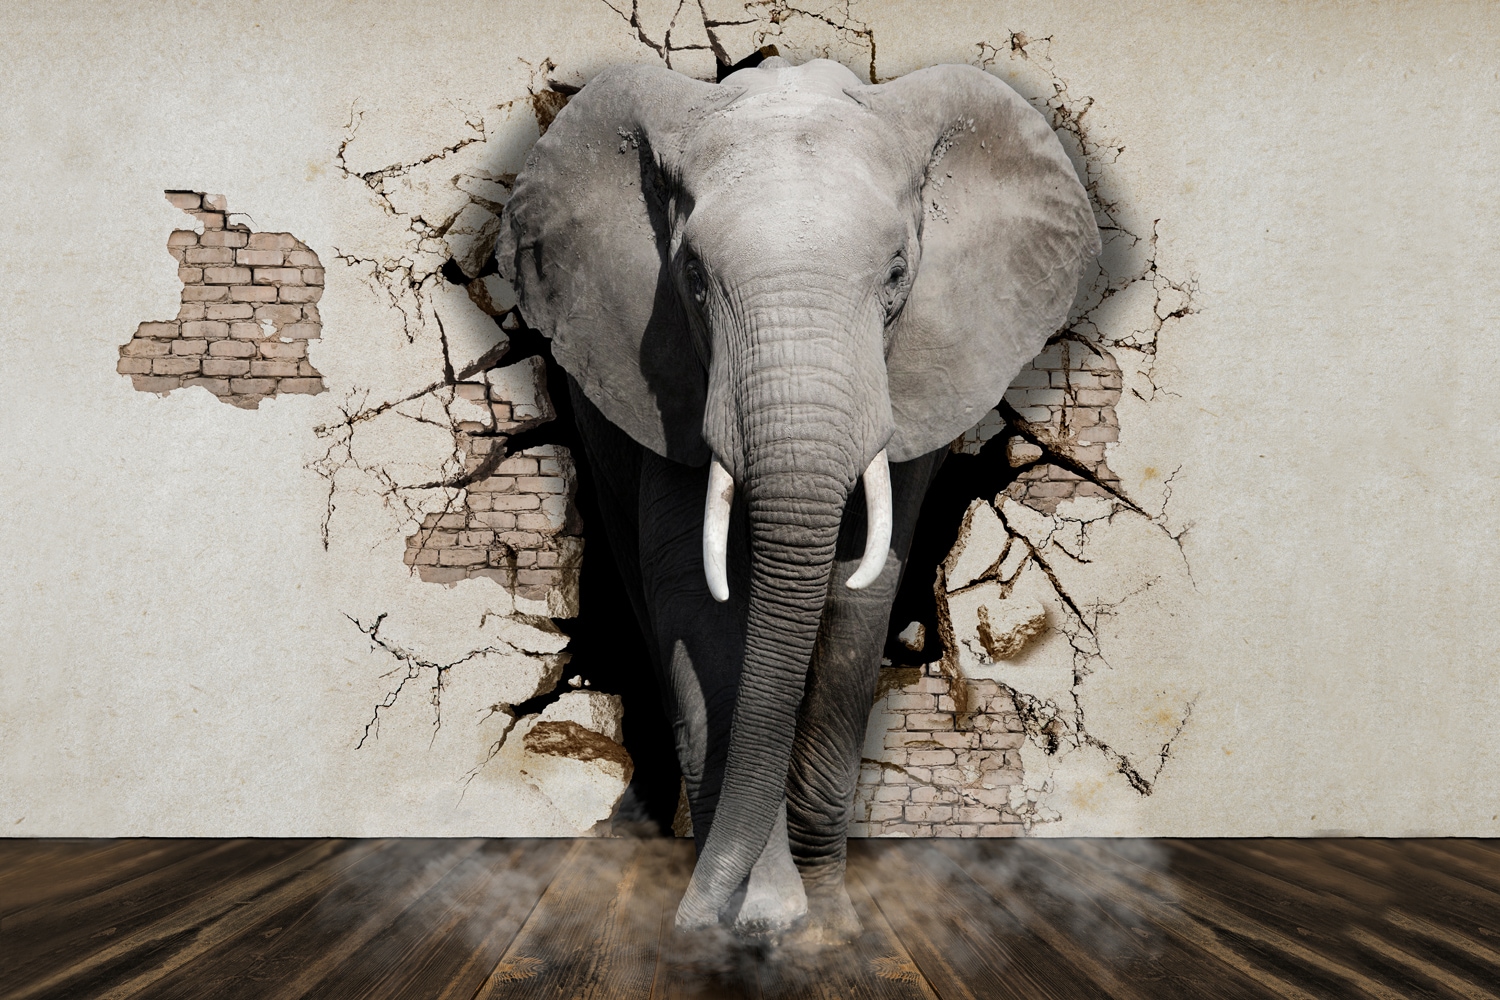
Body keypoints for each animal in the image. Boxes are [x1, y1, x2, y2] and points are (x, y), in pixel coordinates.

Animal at [496, 55, 1099, 941]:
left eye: (896, 274)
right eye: (693, 279)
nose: (688, 922)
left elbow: (856, 600)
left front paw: (822, 926)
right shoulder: (666, 378)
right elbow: (698, 598)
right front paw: (760, 914)